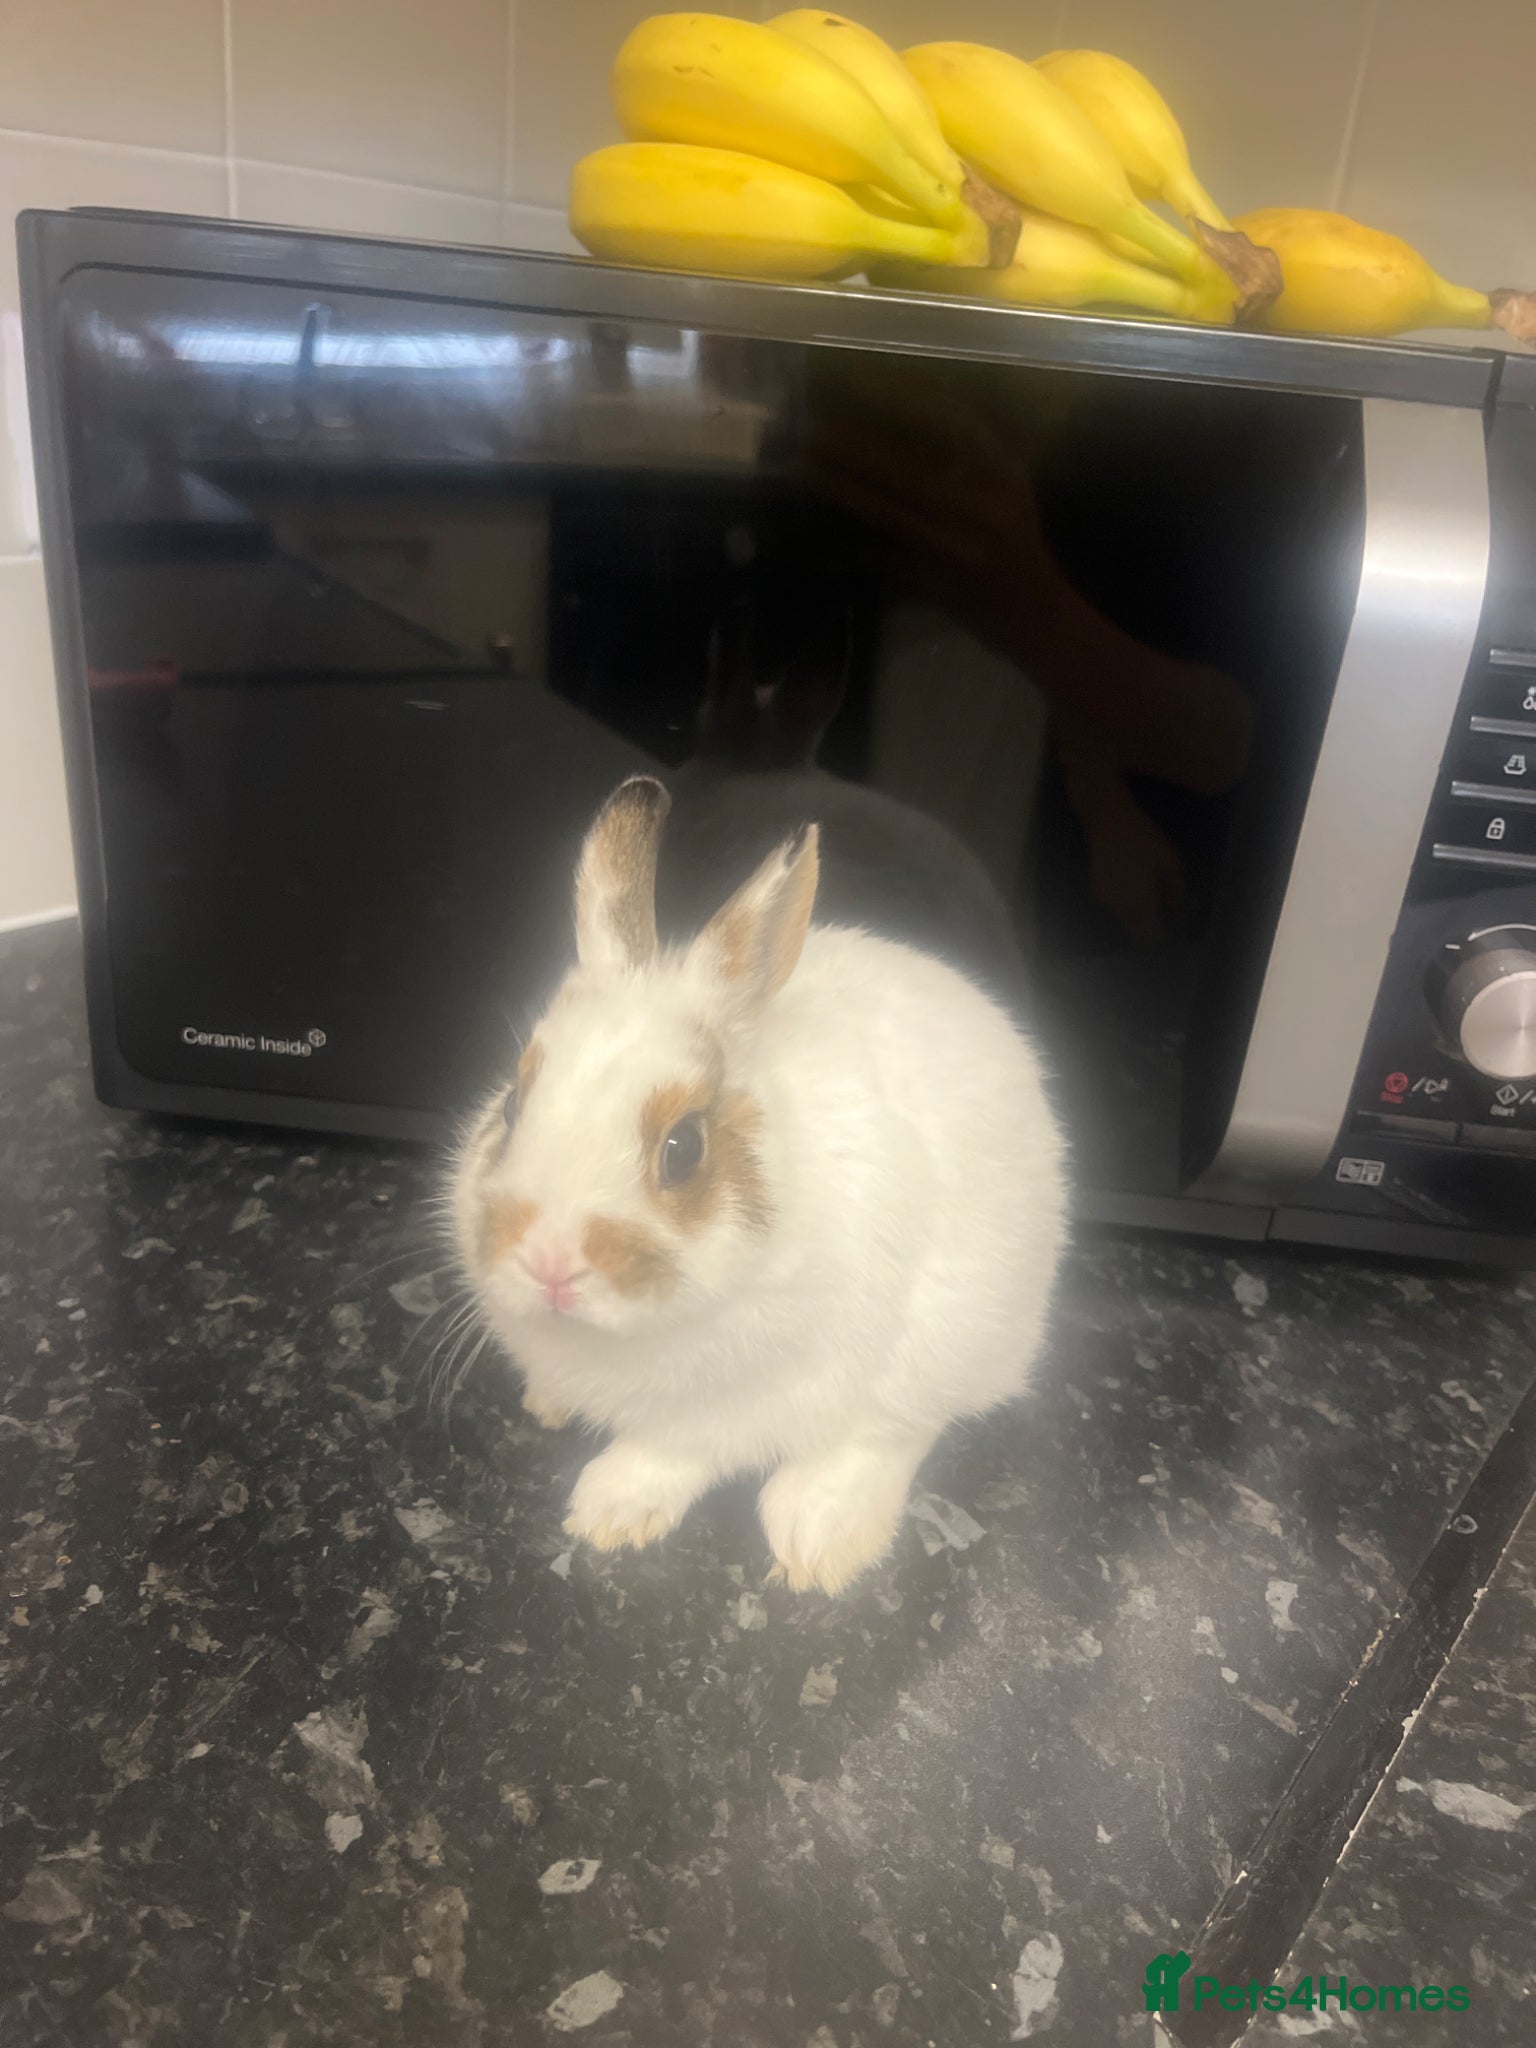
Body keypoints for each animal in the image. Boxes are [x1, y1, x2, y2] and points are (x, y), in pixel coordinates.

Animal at [450, 775, 1067, 1595]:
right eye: (512, 1107)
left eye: (683, 1149)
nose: (548, 1263)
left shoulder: (739, 1399)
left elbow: (673, 1450)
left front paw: (608, 1513)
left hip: (949, 1336)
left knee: (902, 1425)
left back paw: (820, 1537)